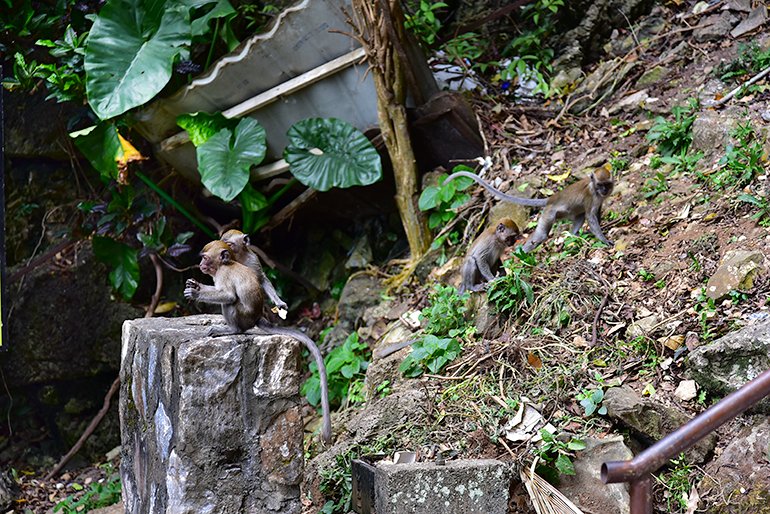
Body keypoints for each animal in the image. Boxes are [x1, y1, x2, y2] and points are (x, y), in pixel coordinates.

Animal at [185, 240, 330, 440]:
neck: (225, 264)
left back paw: (232, 330)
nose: (200, 265)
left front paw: (196, 293)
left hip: (242, 317)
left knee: (230, 303)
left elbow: (228, 295)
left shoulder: (223, 274)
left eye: (205, 258)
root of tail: (255, 319)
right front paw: (195, 285)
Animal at [444, 169, 612, 251]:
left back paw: (574, 236)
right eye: (600, 185)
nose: (604, 191)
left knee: (579, 217)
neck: (595, 190)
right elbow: (591, 216)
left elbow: (595, 214)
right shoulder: (592, 196)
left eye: (607, 184)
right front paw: (604, 240)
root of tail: (551, 199)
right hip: (549, 214)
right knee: (541, 236)